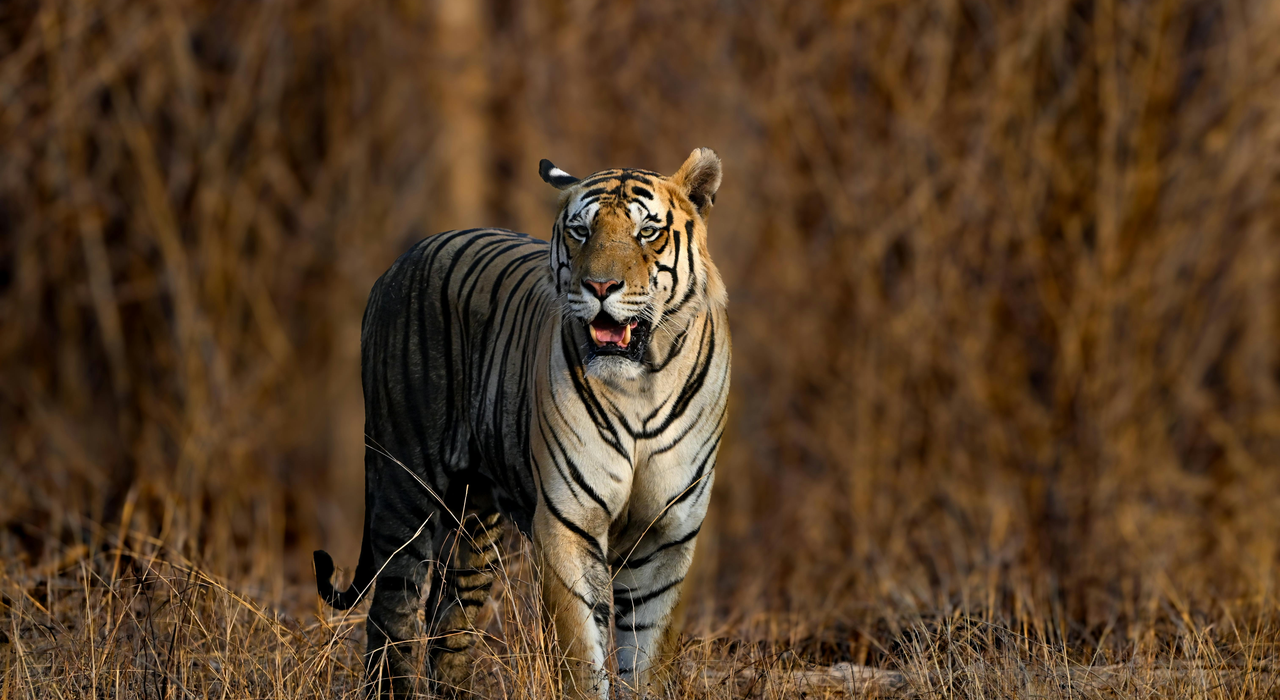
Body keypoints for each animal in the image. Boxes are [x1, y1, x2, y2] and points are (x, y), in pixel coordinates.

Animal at [313, 148, 730, 699]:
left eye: (647, 232)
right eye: (581, 231)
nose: (599, 286)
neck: (643, 382)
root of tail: (403, 260)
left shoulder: (666, 536)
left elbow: (645, 662)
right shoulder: (567, 525)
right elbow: (583, 660)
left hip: (472, 528)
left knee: (450, 629)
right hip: (404, 484)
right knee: (392, 614)